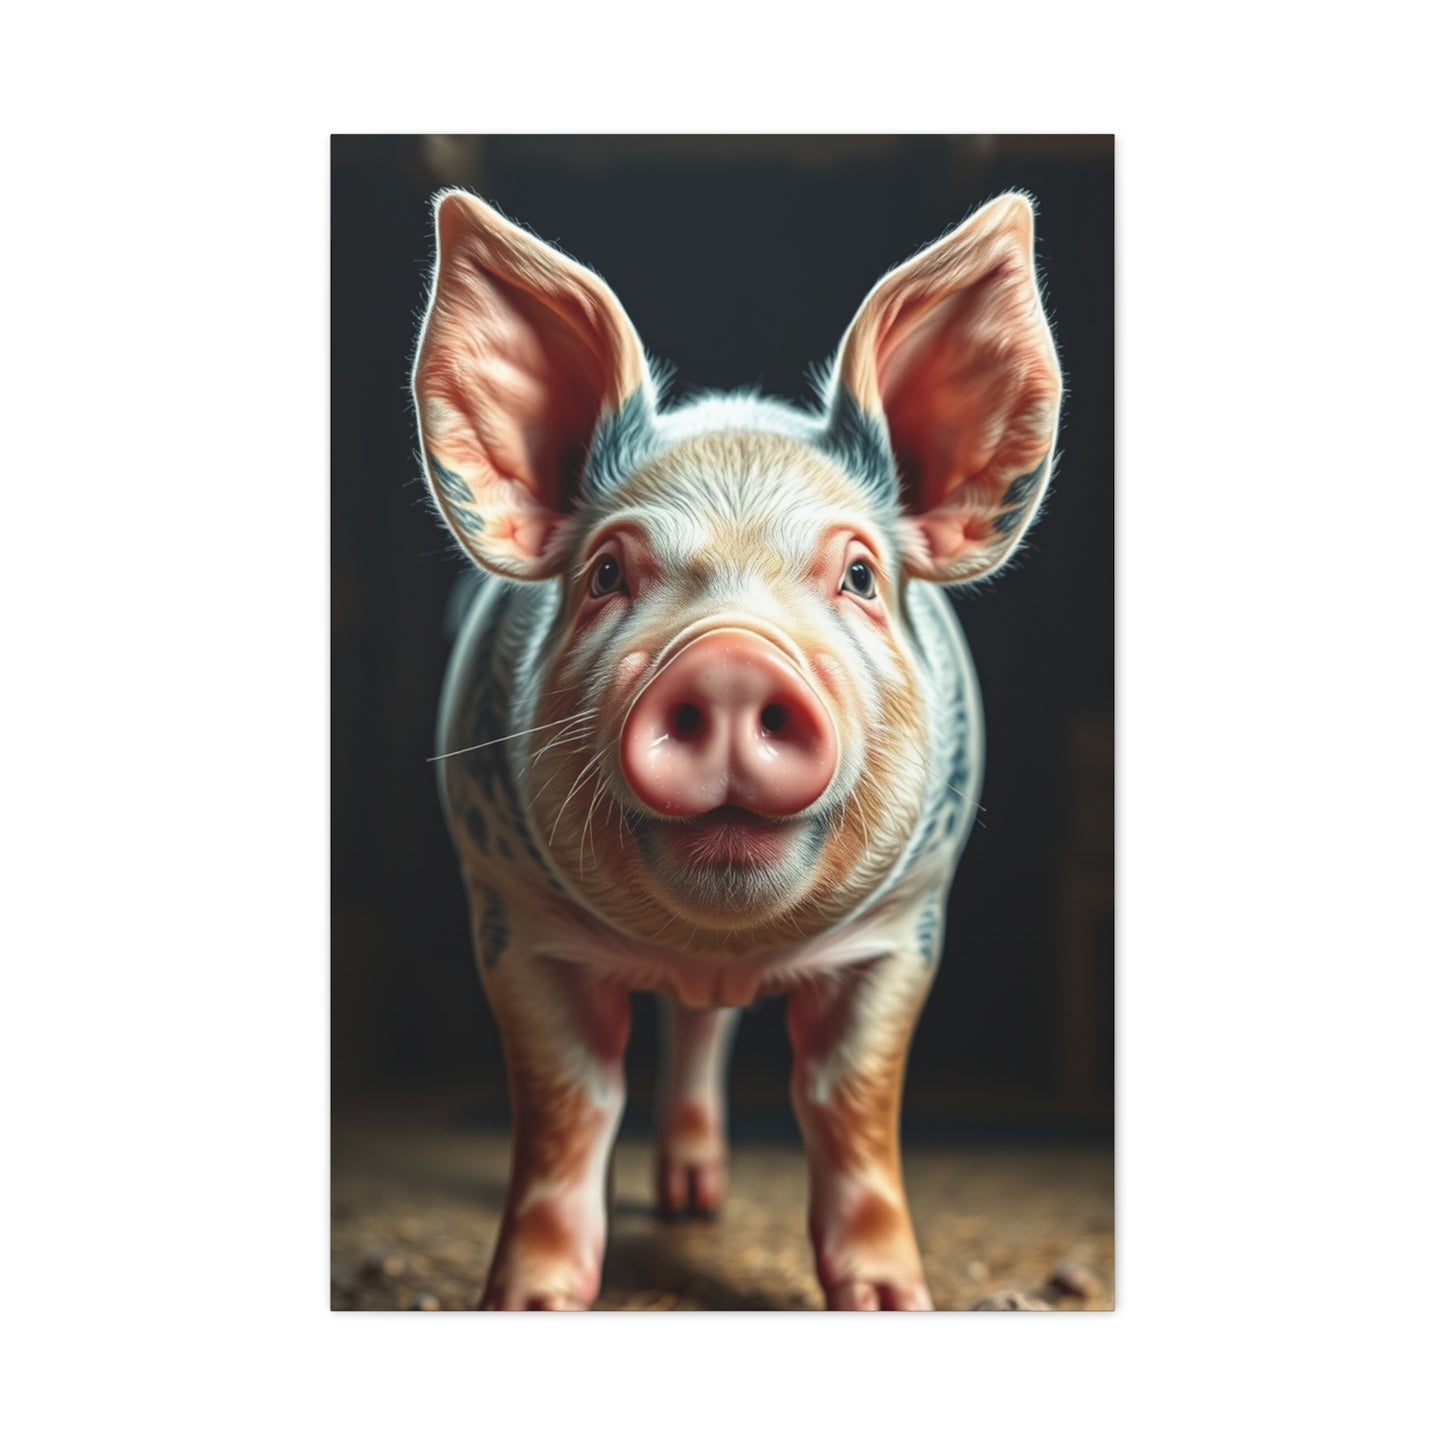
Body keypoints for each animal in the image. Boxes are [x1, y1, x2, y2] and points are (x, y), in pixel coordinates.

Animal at [411, 188, 1061, 1310]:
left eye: (857, 573)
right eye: (605, 573)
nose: (726, 660)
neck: (714, 948)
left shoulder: (907, 924)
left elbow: (848, 1102)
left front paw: (891, 1301)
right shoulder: (508, 914)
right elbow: (567, 1105)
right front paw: (528, 1303)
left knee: (704, 1034)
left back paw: (694, 1201)